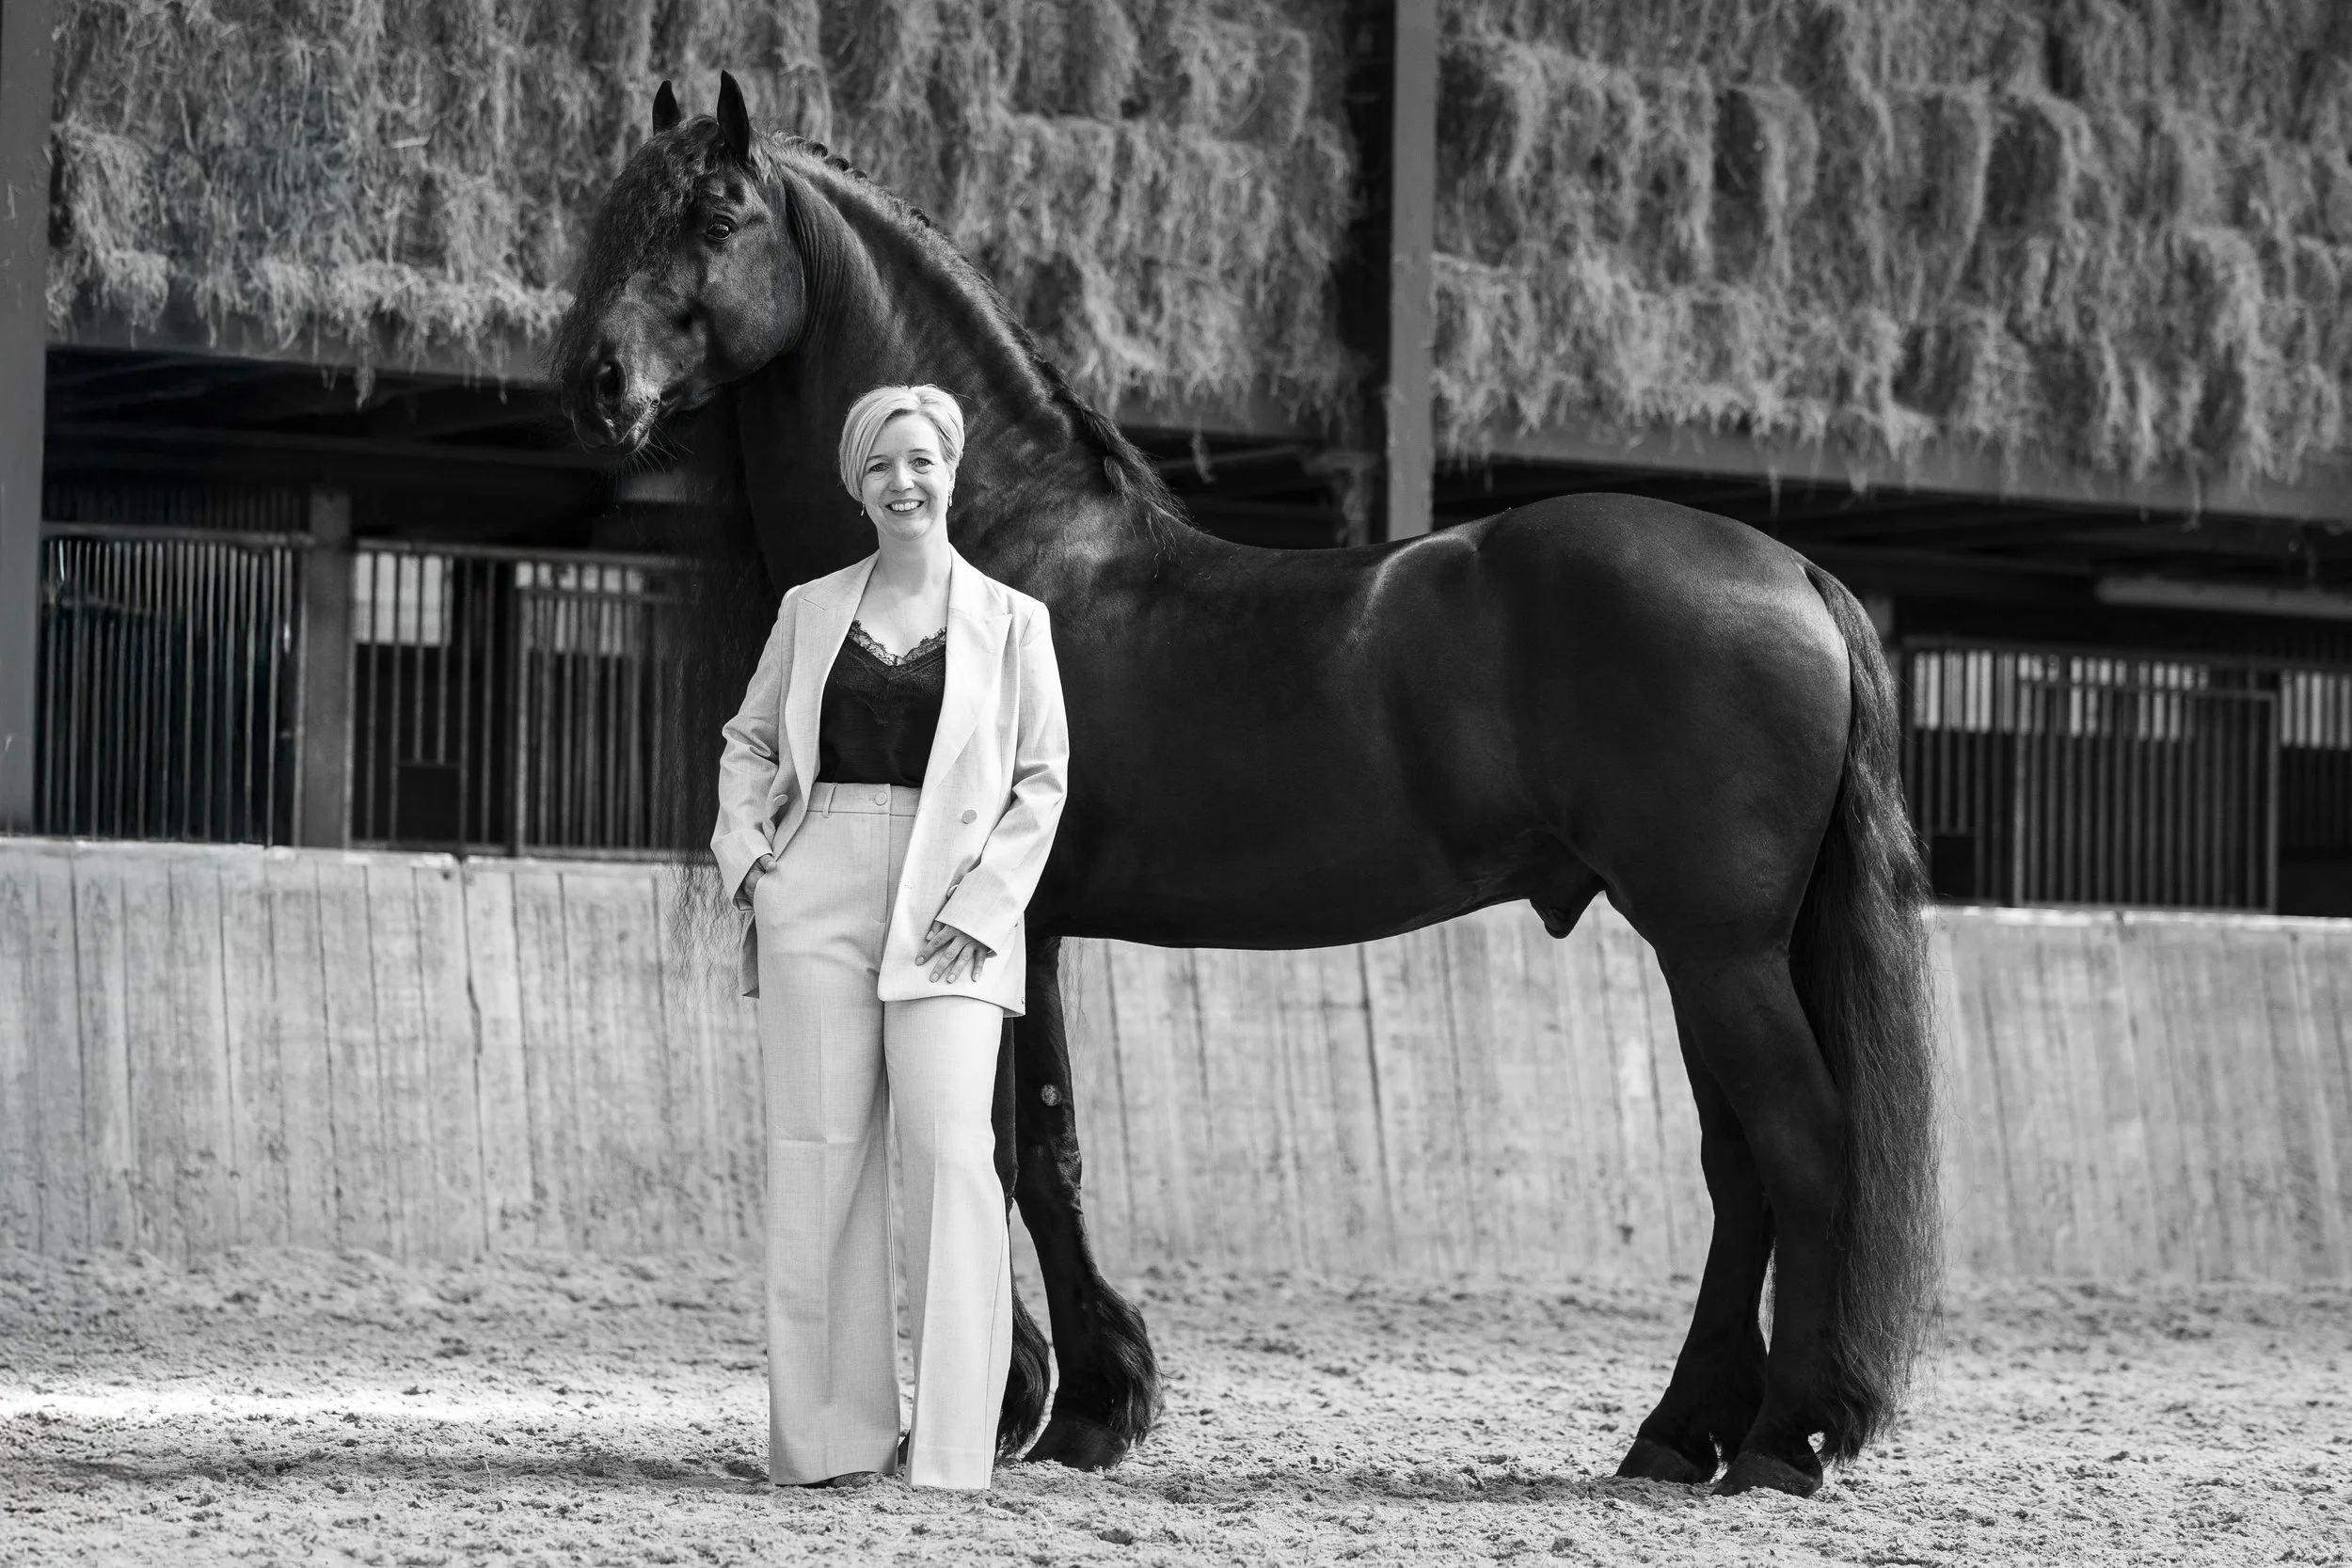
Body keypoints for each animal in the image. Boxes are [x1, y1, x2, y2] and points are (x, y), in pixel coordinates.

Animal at [552, 73, 1940, 1498]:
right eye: (617, 215)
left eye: (718, 214)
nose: (595, 383)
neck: (995, 534)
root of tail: (1794, 572)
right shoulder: (1025, 931)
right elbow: (1020, 1143)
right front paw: (1054, 1393)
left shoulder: (1013, 923)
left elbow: (1020, 1148)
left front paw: (1066, 1401)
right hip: (1705, 949)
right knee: (1741, 1166)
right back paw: (1679, 1430)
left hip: (1717, 948)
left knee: (1805, 1147)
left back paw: (1780, 1436)